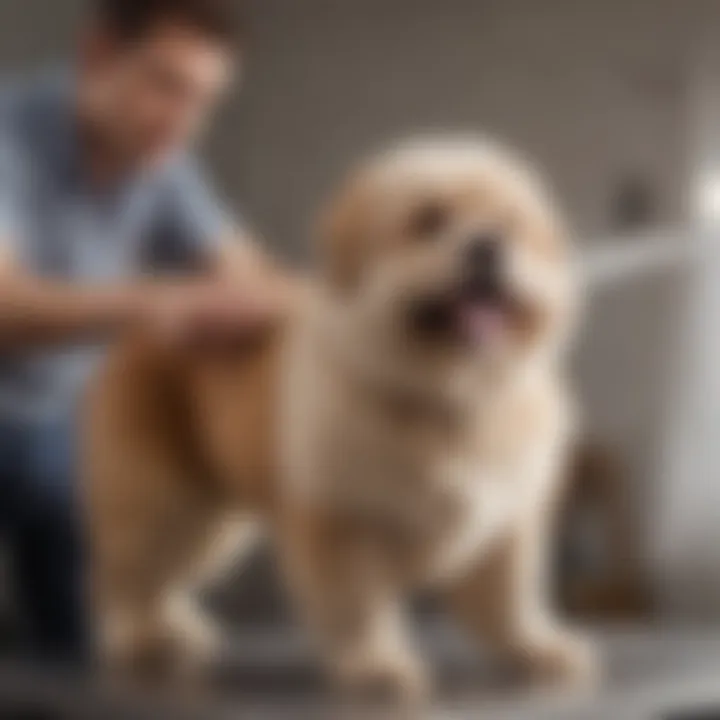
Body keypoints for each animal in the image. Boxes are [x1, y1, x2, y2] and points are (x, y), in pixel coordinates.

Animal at [83, 135, 592, 696]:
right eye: (429, 220)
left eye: (511, 224)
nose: (487, 244)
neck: (446, 400)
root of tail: (149, 324)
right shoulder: (343, 523)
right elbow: (357, 609)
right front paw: (377, 667)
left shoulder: (503, 525)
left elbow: (512, 603)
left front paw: (536, 649)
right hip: (164, 502)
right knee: (125, 574)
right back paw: (137, 639)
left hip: (215, 521)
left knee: (161, 578)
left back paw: (176, 629)